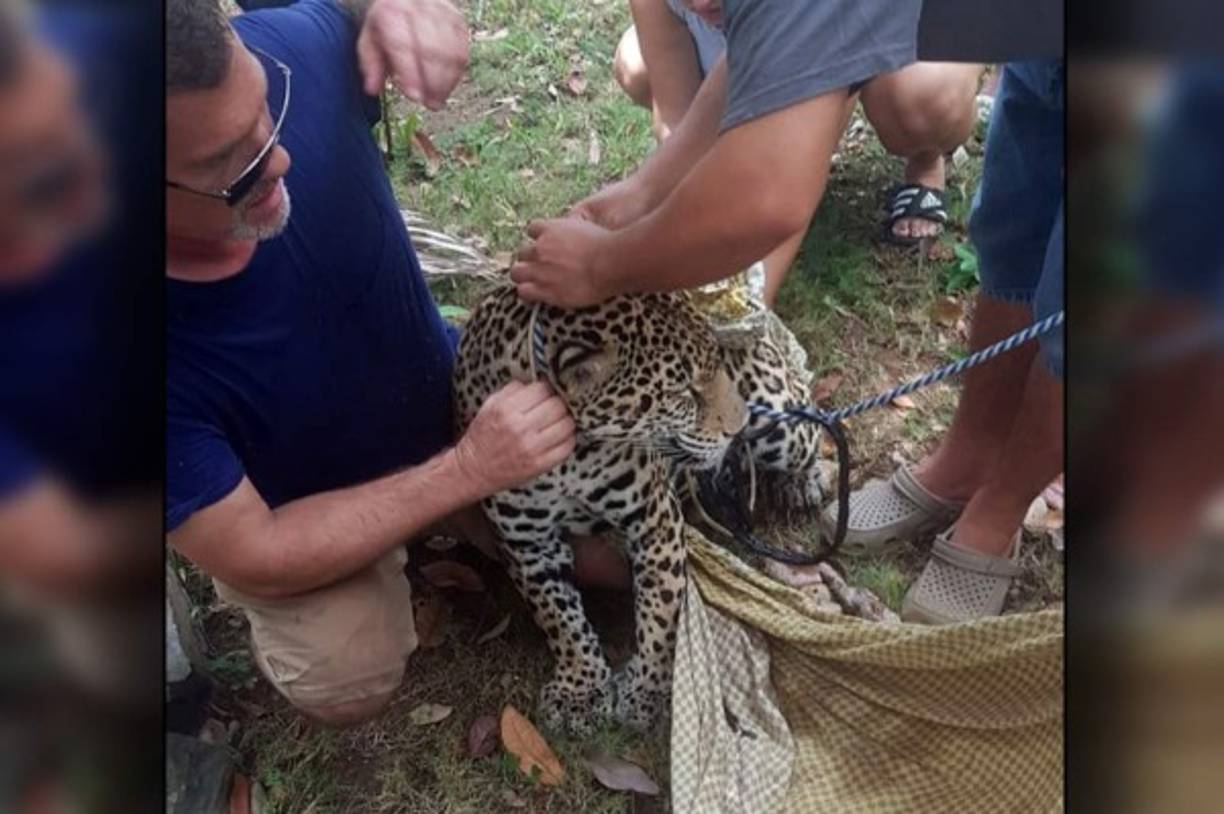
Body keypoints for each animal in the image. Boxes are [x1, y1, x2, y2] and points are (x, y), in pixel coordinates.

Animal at [452, 286, 826, 735]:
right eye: (684, 391)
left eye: (715, 367)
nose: (737, 427)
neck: (572, 452)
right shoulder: (527, 542)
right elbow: (558, 617)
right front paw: (581, 689)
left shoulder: (654, 520)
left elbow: (662, 613)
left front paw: (651, 691)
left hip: (781, 425)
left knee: (813, 415)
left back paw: (803, 483)